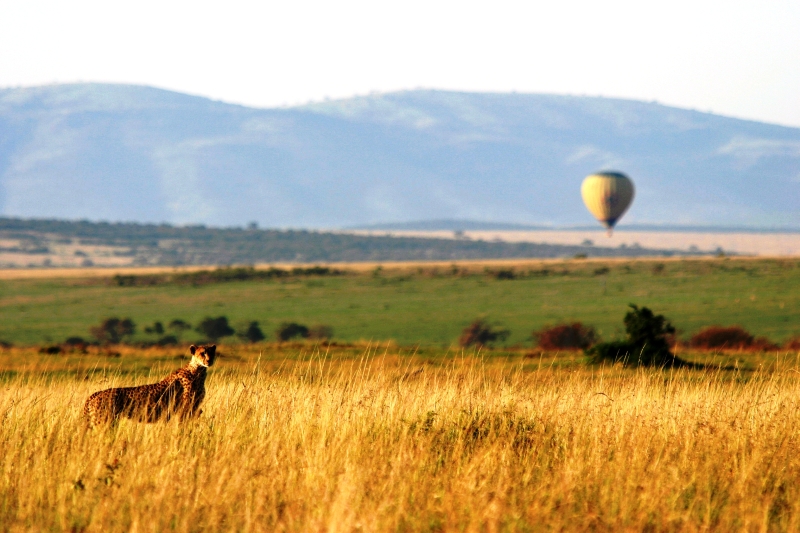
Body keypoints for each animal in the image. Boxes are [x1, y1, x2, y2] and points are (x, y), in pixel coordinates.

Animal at [83, 342, 217, 426]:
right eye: (202, 353)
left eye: (212, 353)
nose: (209, 360)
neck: (198, 371)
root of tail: (94, 395)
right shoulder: (183, 411)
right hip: (103, 423)